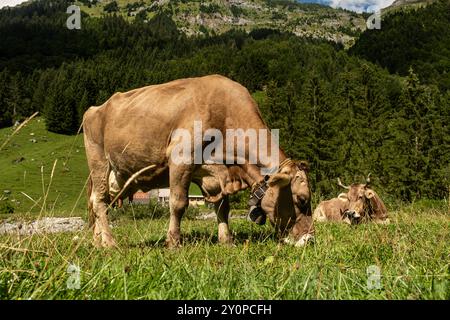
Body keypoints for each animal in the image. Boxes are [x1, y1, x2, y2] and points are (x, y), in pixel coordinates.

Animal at [83, 74, 312, 248]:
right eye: (302, 199)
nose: (310, 238)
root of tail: (96, 108)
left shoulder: (213, 173)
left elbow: (222, 207)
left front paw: (226, 240)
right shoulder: (181, 157)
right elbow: (178, 203)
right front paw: (174, 242)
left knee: (97, 201)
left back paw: (97, 242)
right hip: (99, 163)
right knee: (100, 202)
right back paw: (110, 243)